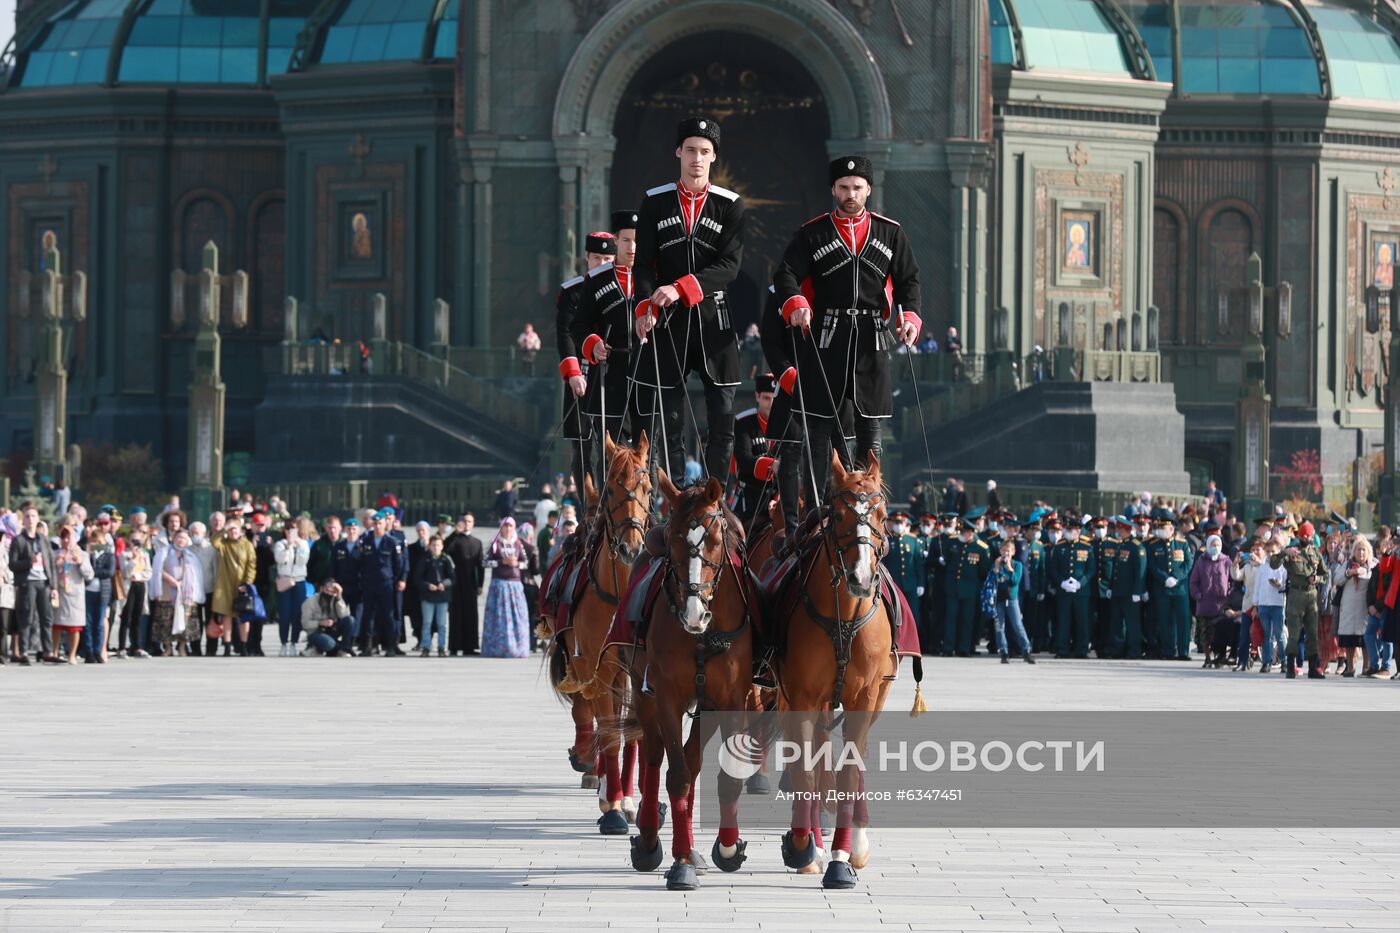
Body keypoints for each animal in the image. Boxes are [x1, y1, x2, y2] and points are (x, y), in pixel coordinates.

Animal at [548, 431, 652, 829]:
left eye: (648, 489)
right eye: (611, 490)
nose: (630, 547)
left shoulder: (639, 671)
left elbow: (634, 734)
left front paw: (634, 801)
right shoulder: (600, 666)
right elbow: (609, 731)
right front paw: (614, 807)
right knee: (588, 710)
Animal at [627, 476, 756, 890]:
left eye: (716, 537)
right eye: (672, 538)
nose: (693, 612)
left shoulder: (729, 699)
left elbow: (723, 774)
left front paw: (727, 848)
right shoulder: (666, 696)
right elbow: (677, 775)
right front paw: (681, 861)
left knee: (693, 757)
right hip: (643, 692)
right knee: (654, 754)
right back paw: (649, 839)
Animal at [772, 451, 912, 885]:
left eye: (882, 514)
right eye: (838, 513)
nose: (861, 577)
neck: (845, 617)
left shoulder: (864, 696)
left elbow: (851, 769)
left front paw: (841, 857)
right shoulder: (800, 695)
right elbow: (805, 769)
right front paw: (804, 847)